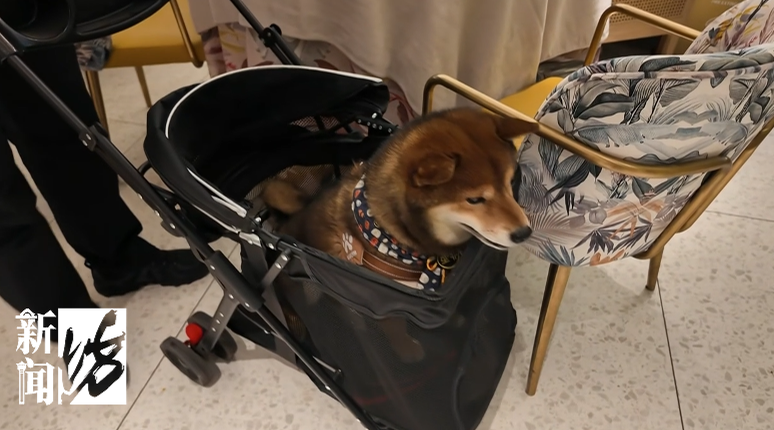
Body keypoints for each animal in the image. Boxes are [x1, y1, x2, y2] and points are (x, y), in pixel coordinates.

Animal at [269, 107, 538, 362]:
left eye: (510, 182)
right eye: (474, 200)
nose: (524, 232)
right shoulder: (380, 301)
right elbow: (395, 330)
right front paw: (407, 350)